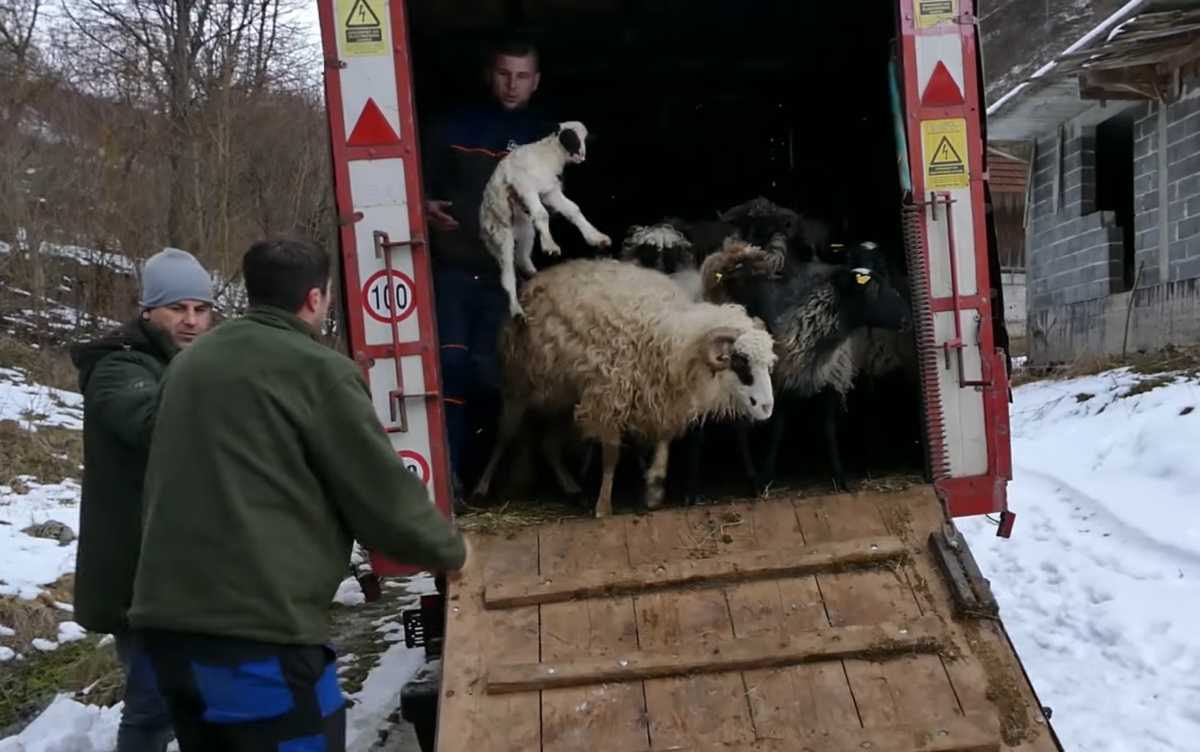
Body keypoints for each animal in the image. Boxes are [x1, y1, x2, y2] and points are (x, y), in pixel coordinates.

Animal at [468, 259, 777, 518]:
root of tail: (532, 284)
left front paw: (654, 488)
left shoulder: (660, 397)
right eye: (740, 362)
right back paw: (481, 489)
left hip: (563, 398)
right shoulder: (608, 397)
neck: (674, 341)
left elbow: (663, 439)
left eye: (767, 364)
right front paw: (604, 506)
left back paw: (574, 491)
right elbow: (611, 456)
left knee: (549, 446)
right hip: (517, 387)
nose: (767, 408)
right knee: (504, 437)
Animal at [475, 119, 609, 316]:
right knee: (507, 275)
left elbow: (573, 210)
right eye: (569, 137)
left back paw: (533, 275)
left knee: (522, 257)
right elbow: (542, 214)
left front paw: (596, 238)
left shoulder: (550, 191)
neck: (548, 155)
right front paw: (551, 247)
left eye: (584, 138)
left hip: (525, 231)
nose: (582, 156)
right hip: (501, 234)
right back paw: (516, 310)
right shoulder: (526, 187)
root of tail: (482, 225)